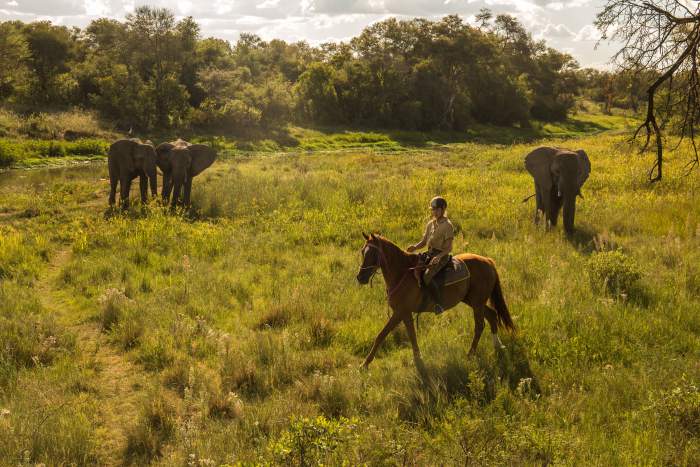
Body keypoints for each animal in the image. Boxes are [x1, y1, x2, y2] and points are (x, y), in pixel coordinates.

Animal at [356, 232, 516, 372]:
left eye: (373, 253)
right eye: (363, 251)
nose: (360, 277)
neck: (402, 273)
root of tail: (487, 261)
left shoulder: (400, 312)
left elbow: (381, 335)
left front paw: (364, 365)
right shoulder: (405, 313)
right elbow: (411, 335)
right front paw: (418, 359)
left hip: (477, 303)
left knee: (480, 326)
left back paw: (470, 354)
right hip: (474, 301)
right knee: (492, 315)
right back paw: (498, 346)